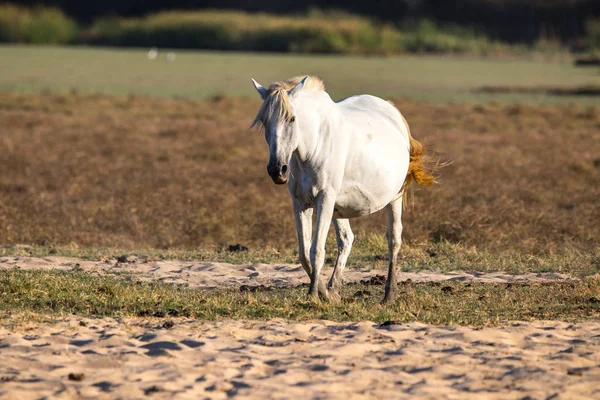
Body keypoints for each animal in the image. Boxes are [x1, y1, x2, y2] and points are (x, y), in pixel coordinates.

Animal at [250, 76, 436, 304]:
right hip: (338, 209)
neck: (314, 148)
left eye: (292, 119)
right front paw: (323, 291)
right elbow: (304, 253)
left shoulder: (324, 199)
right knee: (347, 239)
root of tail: (392, 112)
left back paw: (389, 295)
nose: (277, 170)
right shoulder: (300, 203)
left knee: (394, 239)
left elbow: (316, 250)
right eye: (264, 121)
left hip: (394, 199)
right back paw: (334, 289)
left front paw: (313, 294)